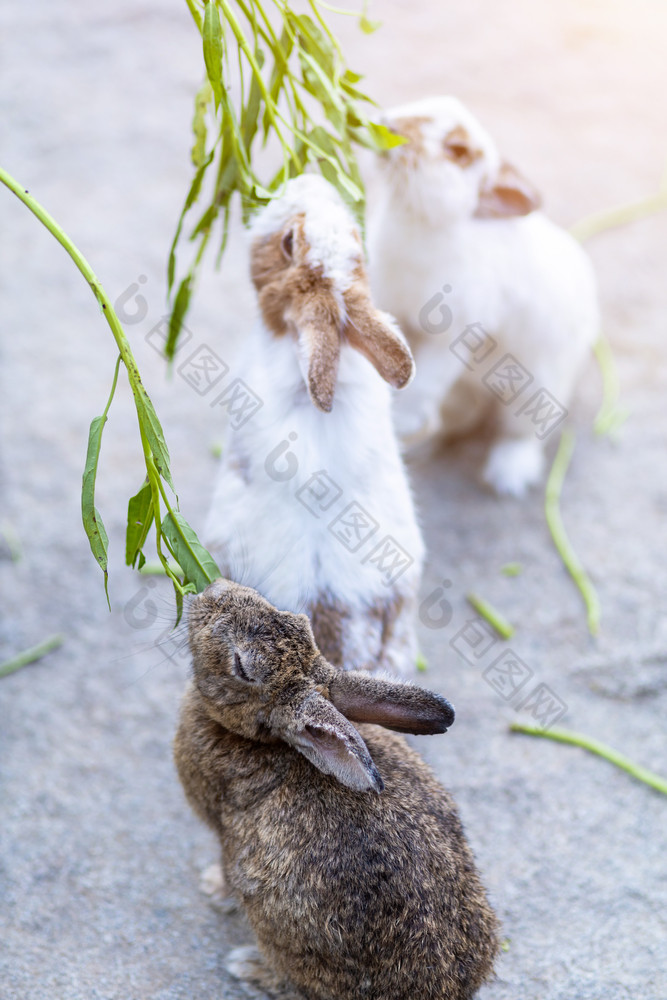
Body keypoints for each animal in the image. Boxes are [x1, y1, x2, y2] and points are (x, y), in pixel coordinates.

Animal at [175, 580, 498, 1000]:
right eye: (298, 620)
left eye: (242, 667)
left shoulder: (224, 833)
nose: (213, 590)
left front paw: (213, 887)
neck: (269, 742)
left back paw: (249, 967)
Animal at [368, 97, 604, 496]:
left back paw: (507, 476)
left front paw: (404, 419)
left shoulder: (456, 331)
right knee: (460, 420)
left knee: (521, 433)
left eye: (458, 152)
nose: (389, 125)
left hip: (538, 389)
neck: (420, 223)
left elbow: (427, 377)